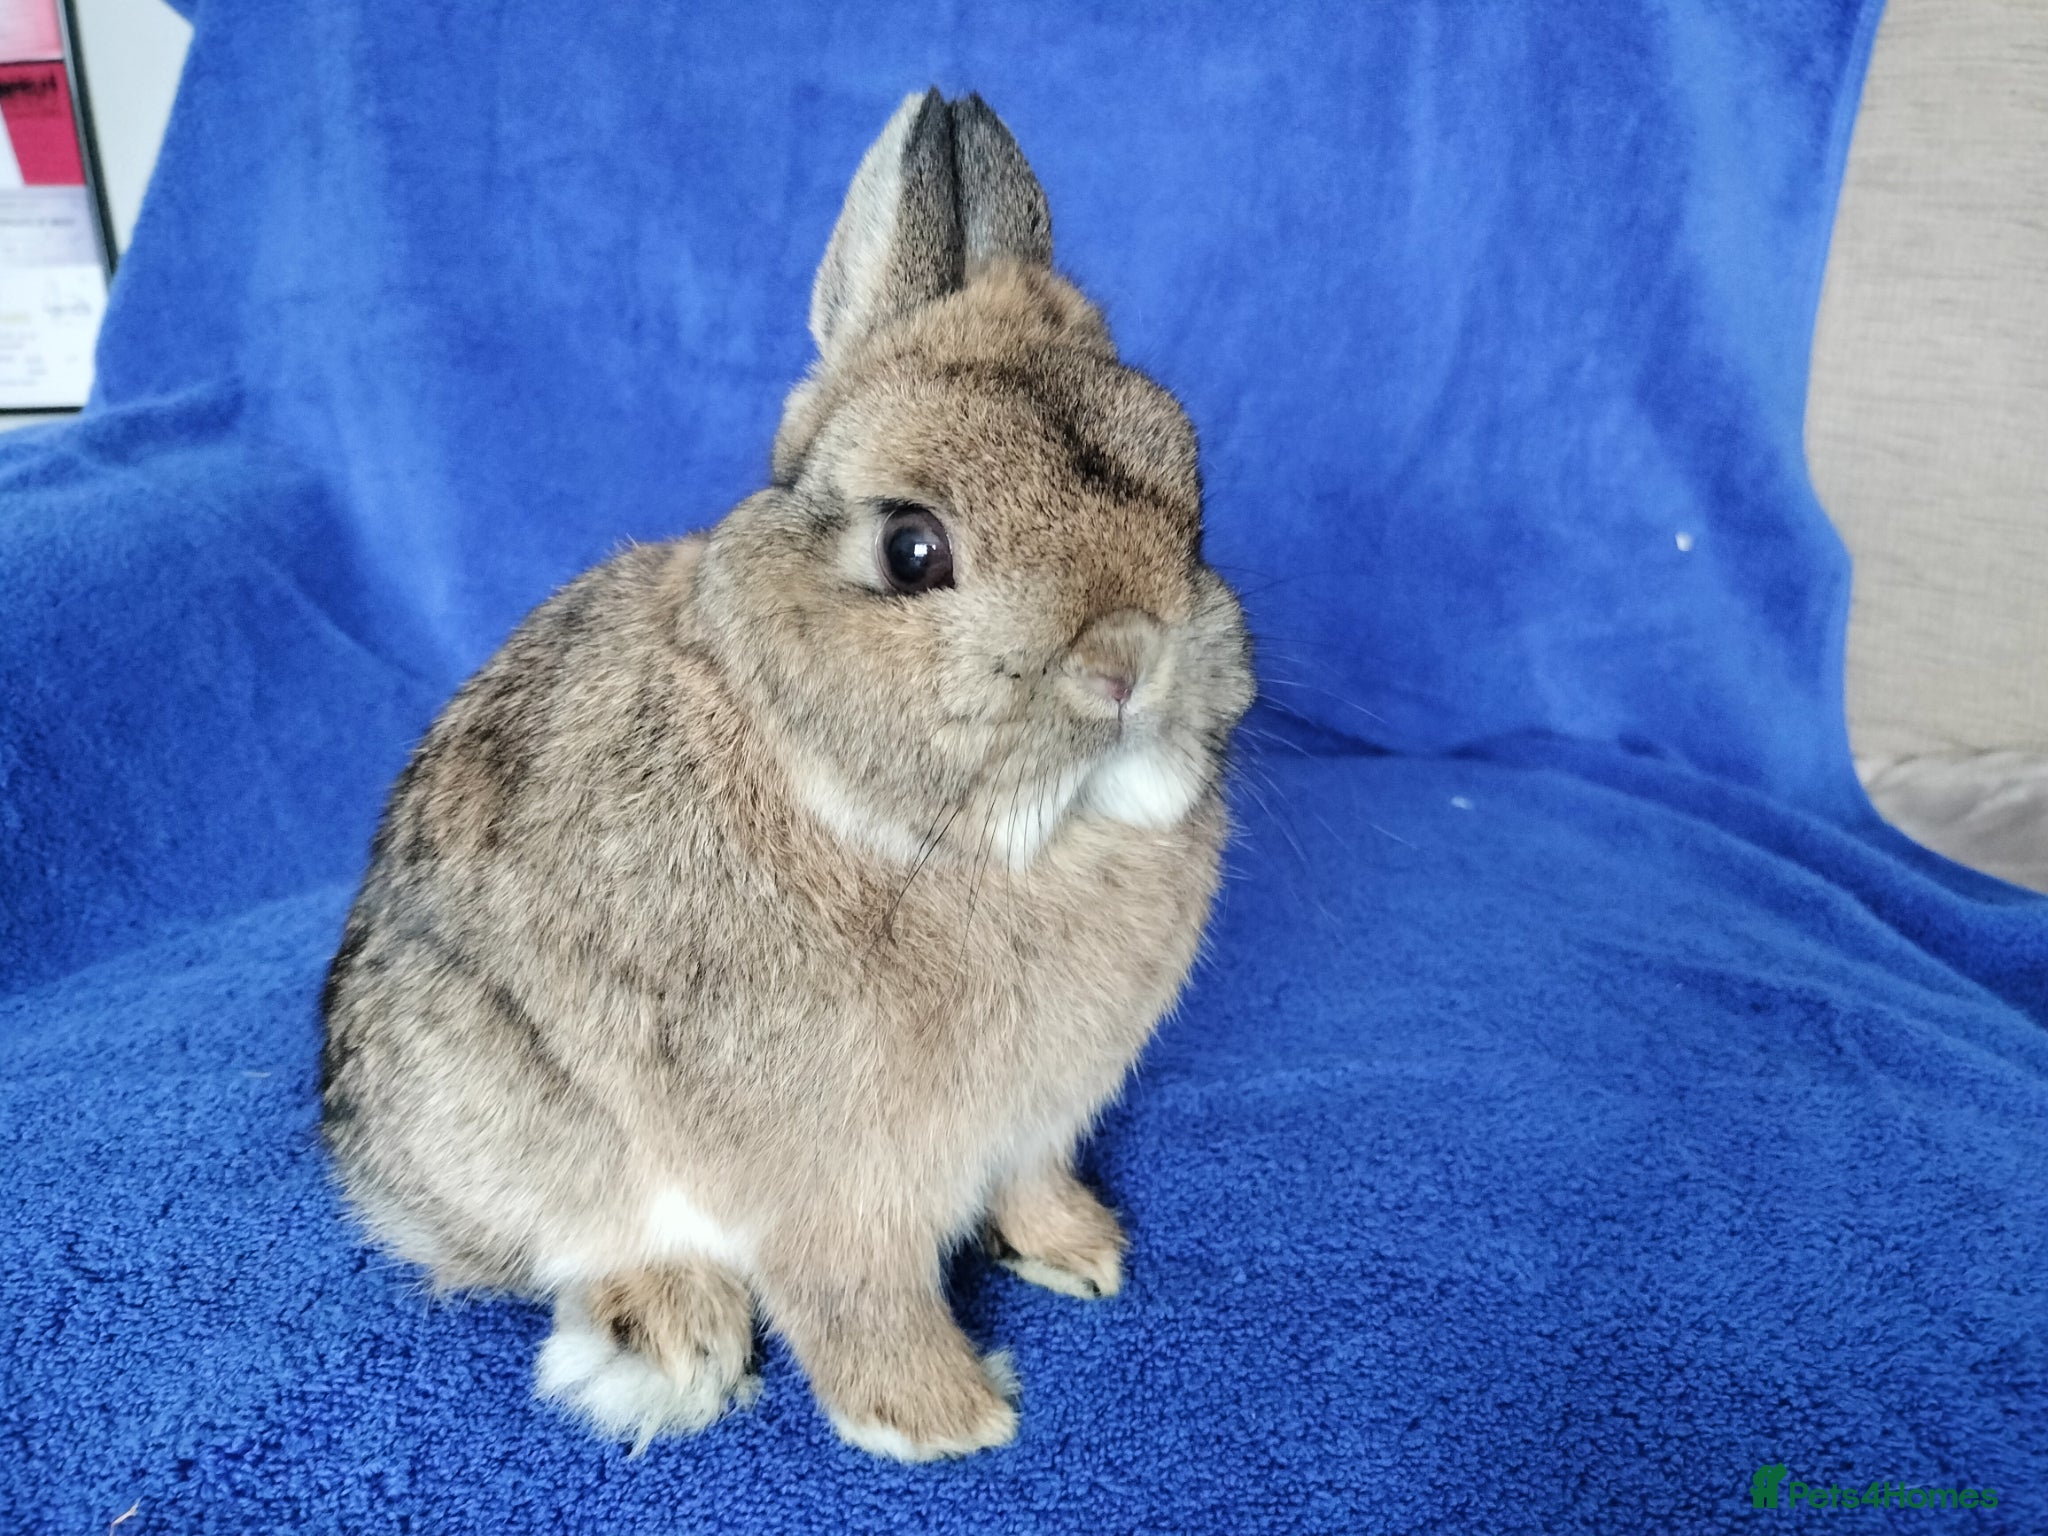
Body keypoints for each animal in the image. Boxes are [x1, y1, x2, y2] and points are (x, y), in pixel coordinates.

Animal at [319, 87, 1253, 1463]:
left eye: (1191, 501)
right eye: (911, 549)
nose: (1126, 657)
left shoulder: (1034, 1128)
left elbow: (1030, 1183)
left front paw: (1082, 1256)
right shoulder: (830, 1182)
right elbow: (853, 1293)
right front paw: (943, 1420)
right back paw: (673, 1337)